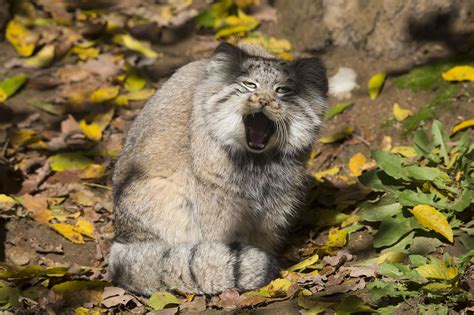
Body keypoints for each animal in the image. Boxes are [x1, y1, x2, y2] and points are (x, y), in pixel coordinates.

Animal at [109, 41, 328, 296]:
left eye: (281, 90)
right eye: (249, 85)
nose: (263, 101)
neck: (258, 164)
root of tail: (120, 237)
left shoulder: (278, 201)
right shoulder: (219, 199)